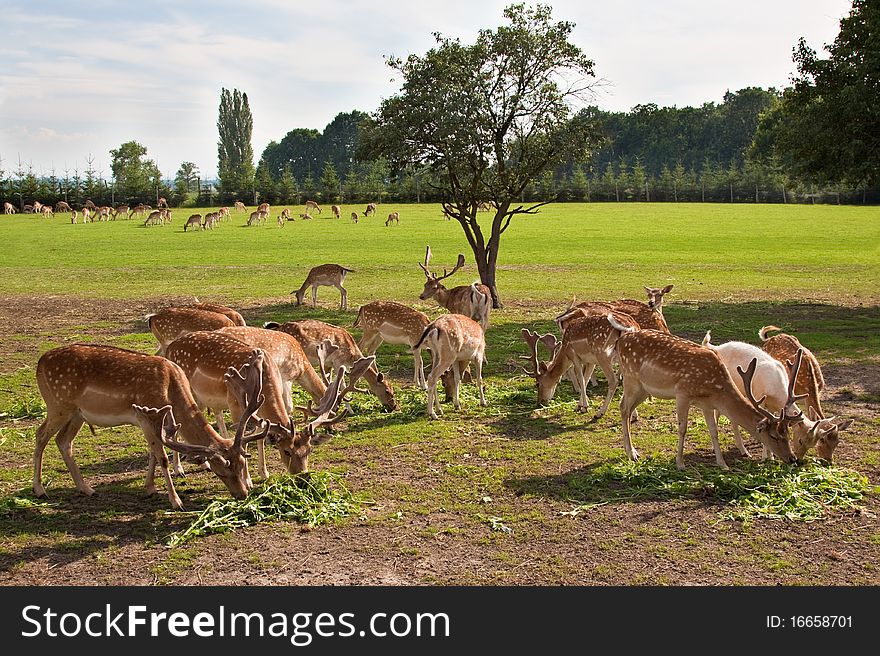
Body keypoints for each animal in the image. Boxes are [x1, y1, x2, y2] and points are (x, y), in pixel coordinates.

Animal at [36, 344, 256, 508]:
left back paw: (86, 489)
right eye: (222, 471)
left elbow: (152, 453)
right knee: (40, 434)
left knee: (63, 441)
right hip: (58, 405)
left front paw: (149, 488)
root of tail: (40, 363)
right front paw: (176, 501)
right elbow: (162, 457)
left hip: (77, 414)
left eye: (242, 464)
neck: (171, 387)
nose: (243, 494)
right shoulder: (145, 414)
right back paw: (40, 490)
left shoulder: (153, 420)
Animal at [262, 320, 398, 410]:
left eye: (393, 389)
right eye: (387, 391)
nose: (395, 406)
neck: (351, 354)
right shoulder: (338, 362)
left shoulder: (328, 363)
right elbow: (342, 385)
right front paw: (349, 410)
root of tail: (277, 327)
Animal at [608, 316, 800, 468]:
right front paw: (680, 463)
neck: (715, 389)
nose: (793, 459)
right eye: (774, 436)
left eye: (787, 434)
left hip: (643, 389)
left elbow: (713, 431)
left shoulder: (707, 405)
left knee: (628, 409)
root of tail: (621, 340)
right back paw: (632, 453)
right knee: (623, 407)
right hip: (630, 379)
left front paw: (722, 464)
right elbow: (683, 429)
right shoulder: (682, 393)